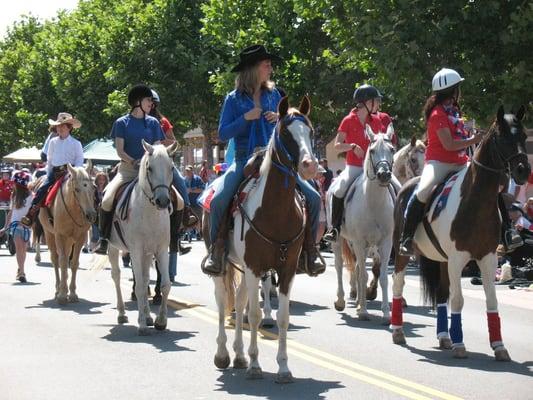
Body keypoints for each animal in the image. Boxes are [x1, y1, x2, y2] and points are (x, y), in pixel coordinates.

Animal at [38, 162, 97, 304]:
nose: (91, 215)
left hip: (69, 240)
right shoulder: (59, 235)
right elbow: (63, 262)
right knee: (55, 259)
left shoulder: (80, 237)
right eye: (77, 189)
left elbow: (74, 263)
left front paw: (73, 293)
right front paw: (63, 294)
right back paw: (57, 289)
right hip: (49, 234)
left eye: (93, 188)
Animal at [105, 141, 177, 334]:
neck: (150, 212)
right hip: (113, 248)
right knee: (116, 276)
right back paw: (122, 313)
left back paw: (149, 316)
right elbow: (138, 288)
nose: (163, 201)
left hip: (147, 253)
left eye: (171, 168)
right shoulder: (136, 251)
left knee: (145, 280)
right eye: (149, 168)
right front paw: (142, 324)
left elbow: (165, 285)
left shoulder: (161, 250)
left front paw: (160, 320)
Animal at [212, 95, 318, 382]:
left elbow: (281, 317)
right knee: (222, 303)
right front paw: (256, 365)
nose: (310, 166)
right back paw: (223, 354)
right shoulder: (254, 266)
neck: (276, 211)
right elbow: (256, 314)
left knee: (238, 301)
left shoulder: (287, 268)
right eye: (286, 133)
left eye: (310, 131)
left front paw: (283, 367)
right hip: (224, 267)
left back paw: (238, 355)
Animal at [332, 125, 394, 322]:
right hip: (340, 241)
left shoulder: (385, 243)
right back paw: (341, 301)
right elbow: (364, 275)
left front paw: (386, 313)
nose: (384, 175)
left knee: (358, 269)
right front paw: (365, 311)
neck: (374, 202)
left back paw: (359, 302)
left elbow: (382, 277)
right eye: (372, 150)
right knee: (339, 266)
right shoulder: (359, 242)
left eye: (392, 149)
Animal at [388, 104, 528, 360]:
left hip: (442, 260)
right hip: (403, 254)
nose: (524, 171)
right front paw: (460, 344)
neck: (475, 201)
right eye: (503, 138)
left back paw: (444, 337)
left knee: (442, 293)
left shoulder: (487, 258)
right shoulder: (458, 258)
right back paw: (398, 331)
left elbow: (491, 300)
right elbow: (458, 300)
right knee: (398, 284)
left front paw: (499, 346)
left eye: (523, 136)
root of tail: (406, 185)